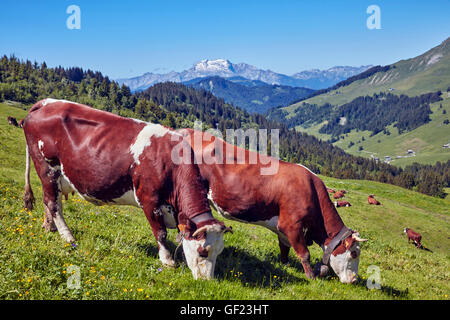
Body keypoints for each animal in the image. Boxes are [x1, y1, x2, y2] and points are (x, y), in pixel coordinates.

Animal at [9, 98, 232, 280]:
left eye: (220, 252)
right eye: (203, 252)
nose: (207, 281)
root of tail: (46, 103)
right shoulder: (149, 200)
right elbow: (160, 233)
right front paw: (168, 261)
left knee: (51, 201)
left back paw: (50, 228)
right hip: (46, 167)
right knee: (52, 203)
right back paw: (68, 236)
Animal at [171, 129, 368, 284]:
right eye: (354, 253)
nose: (354, 280)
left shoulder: (283, 228)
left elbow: (284, 247)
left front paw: (285, 264)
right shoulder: (292, 225)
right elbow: (304, 254)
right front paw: (311, 276)